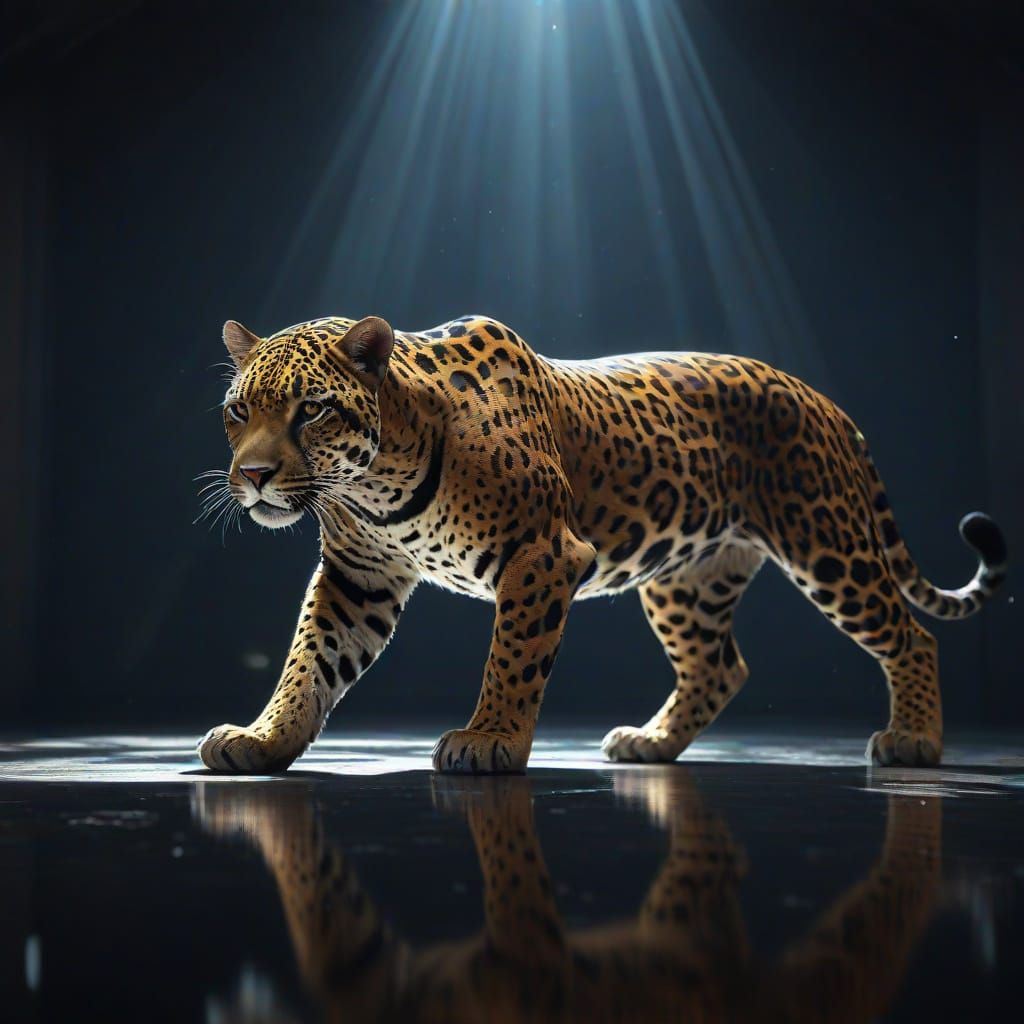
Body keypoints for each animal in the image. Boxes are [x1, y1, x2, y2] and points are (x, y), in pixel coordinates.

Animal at [196, 313, 1007, 774]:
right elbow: (309, 661)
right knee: (719, 666)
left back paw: (914, 741)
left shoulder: (543, 554)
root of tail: (829, 404)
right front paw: (265, 740)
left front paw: (489, 741)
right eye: (238, 411)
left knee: (910, 637)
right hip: (685, 583)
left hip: (827, 543)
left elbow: (514, 658)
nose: (254, 476)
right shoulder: (358, 576)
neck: (377, 484)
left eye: (312, 410)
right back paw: (651, 745)